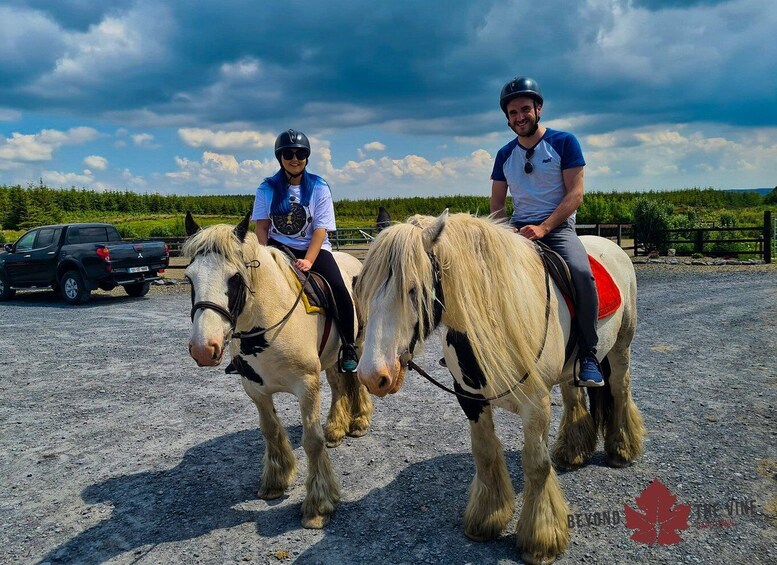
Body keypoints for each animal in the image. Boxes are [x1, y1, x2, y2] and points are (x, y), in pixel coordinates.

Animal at [185, 212, 372, 528]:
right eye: (189, 277)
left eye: (235, 277)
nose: (203, 348)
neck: (269, 319)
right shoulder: (255, 388)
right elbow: (271, 431)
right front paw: (275, 481)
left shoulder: (307, 385)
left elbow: (311, 441)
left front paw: (318, 505)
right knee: (338, 386)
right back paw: (336, 428)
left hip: (356, 345)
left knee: (355, 380)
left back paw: (358, 422)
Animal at [354, 212, 644, 564]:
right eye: (363, 289)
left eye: (413, 289)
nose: (372, 375)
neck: (496, 316)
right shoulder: (470, 399)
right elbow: (486, 453)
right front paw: (486, 518)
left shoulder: (536, 405)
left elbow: (536, 465)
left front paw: (540, 539)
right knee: (573, 396)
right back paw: (573, 451)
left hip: (622, 346)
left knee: (620, 389)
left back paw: (622, 449)